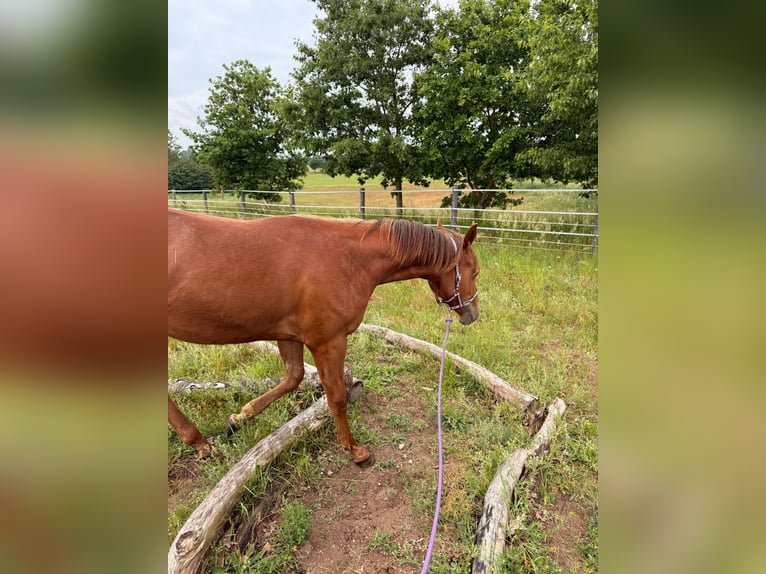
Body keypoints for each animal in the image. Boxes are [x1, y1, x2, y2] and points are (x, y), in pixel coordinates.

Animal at [168, 209, 480, 464]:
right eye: (475, 272)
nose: (473, 313)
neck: (349, 259)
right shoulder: (329, 342)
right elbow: (337, 397)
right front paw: (353, 449)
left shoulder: (290, 335)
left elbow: (292, 377)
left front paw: (240, 417)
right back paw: (200, 444)